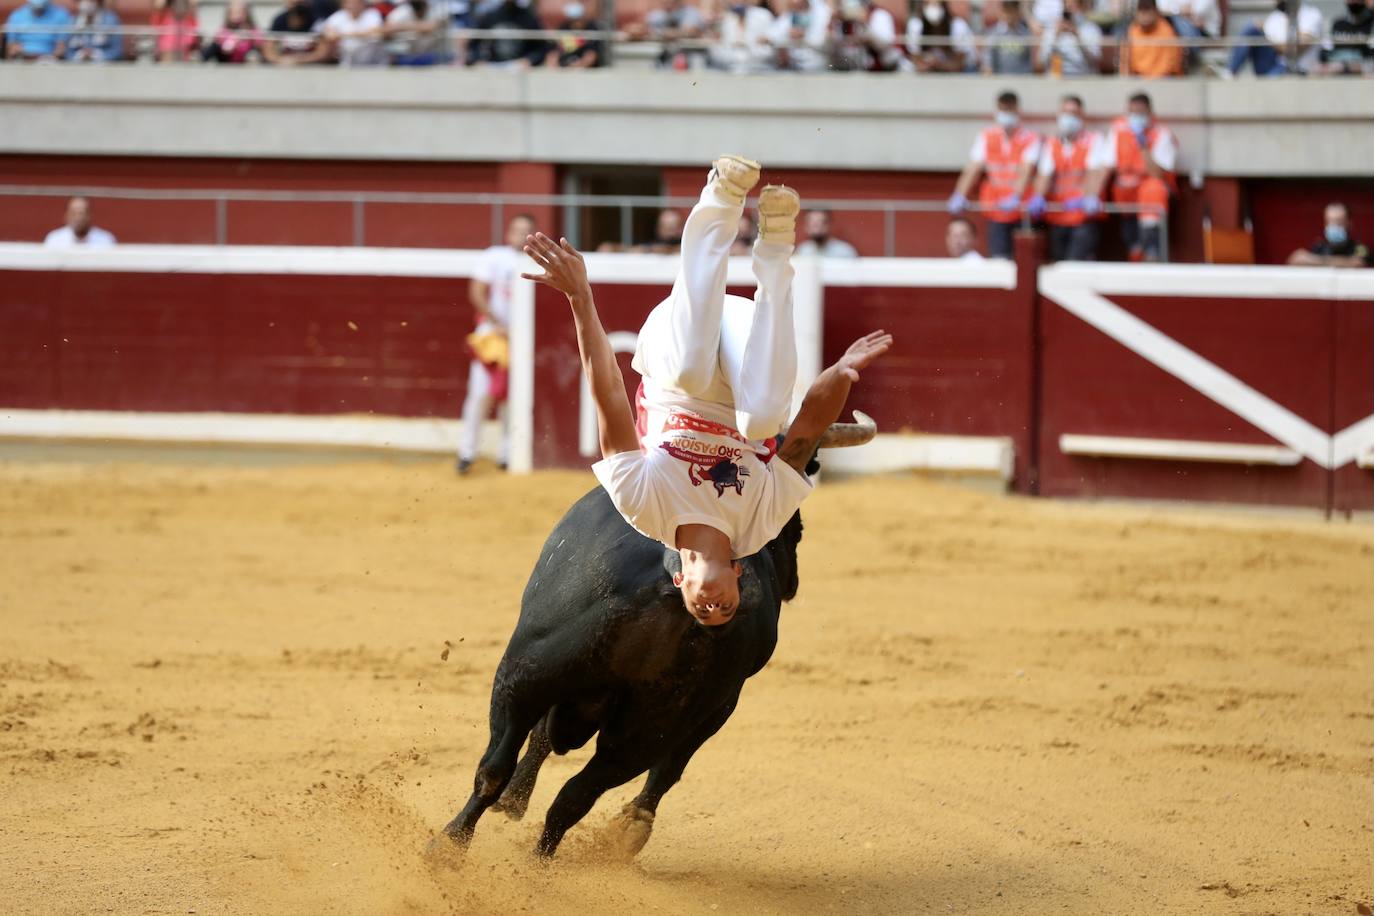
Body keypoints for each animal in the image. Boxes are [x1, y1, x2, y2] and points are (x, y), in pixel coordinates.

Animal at [428, 483, 802, 862]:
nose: (793, 582)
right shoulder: (712, 708)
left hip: (524, 678)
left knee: (506, 770)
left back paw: (461, 846)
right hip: (643, 724)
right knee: (567, 793)